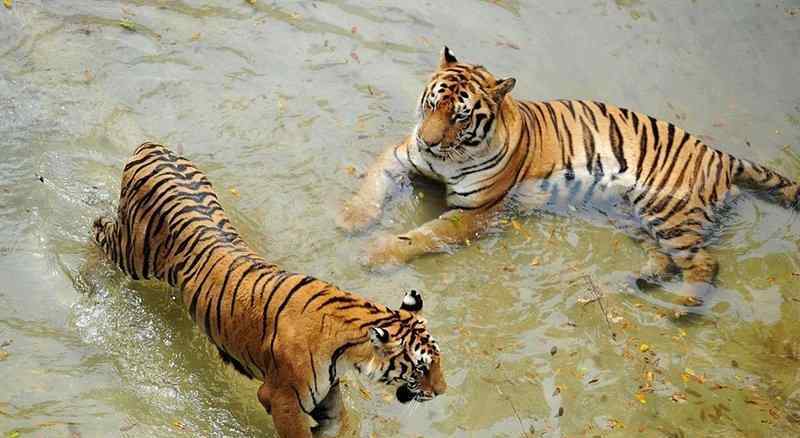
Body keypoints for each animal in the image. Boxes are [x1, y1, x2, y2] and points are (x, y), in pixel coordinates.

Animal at [94, 143, 446, 438]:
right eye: (421, 367)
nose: (441, 391)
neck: (347, 350)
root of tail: (153, 146)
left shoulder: (327, 391)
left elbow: (337, 422)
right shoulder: (281, 397)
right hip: (133, 254)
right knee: (98, 229)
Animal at [338, 48, 800, 314]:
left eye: (461, 116)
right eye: (433, 104)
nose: (429, 140)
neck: (446, 158)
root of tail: (719, 153)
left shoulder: (477, 212)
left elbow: (422, 235)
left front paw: (375, 253)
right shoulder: (401, 156)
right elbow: (372, 184)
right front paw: (351, 219)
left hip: (668, 213)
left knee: (704, 262)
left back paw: (682, 307)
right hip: (629, 214)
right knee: (666, 259)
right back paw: (638, 281)